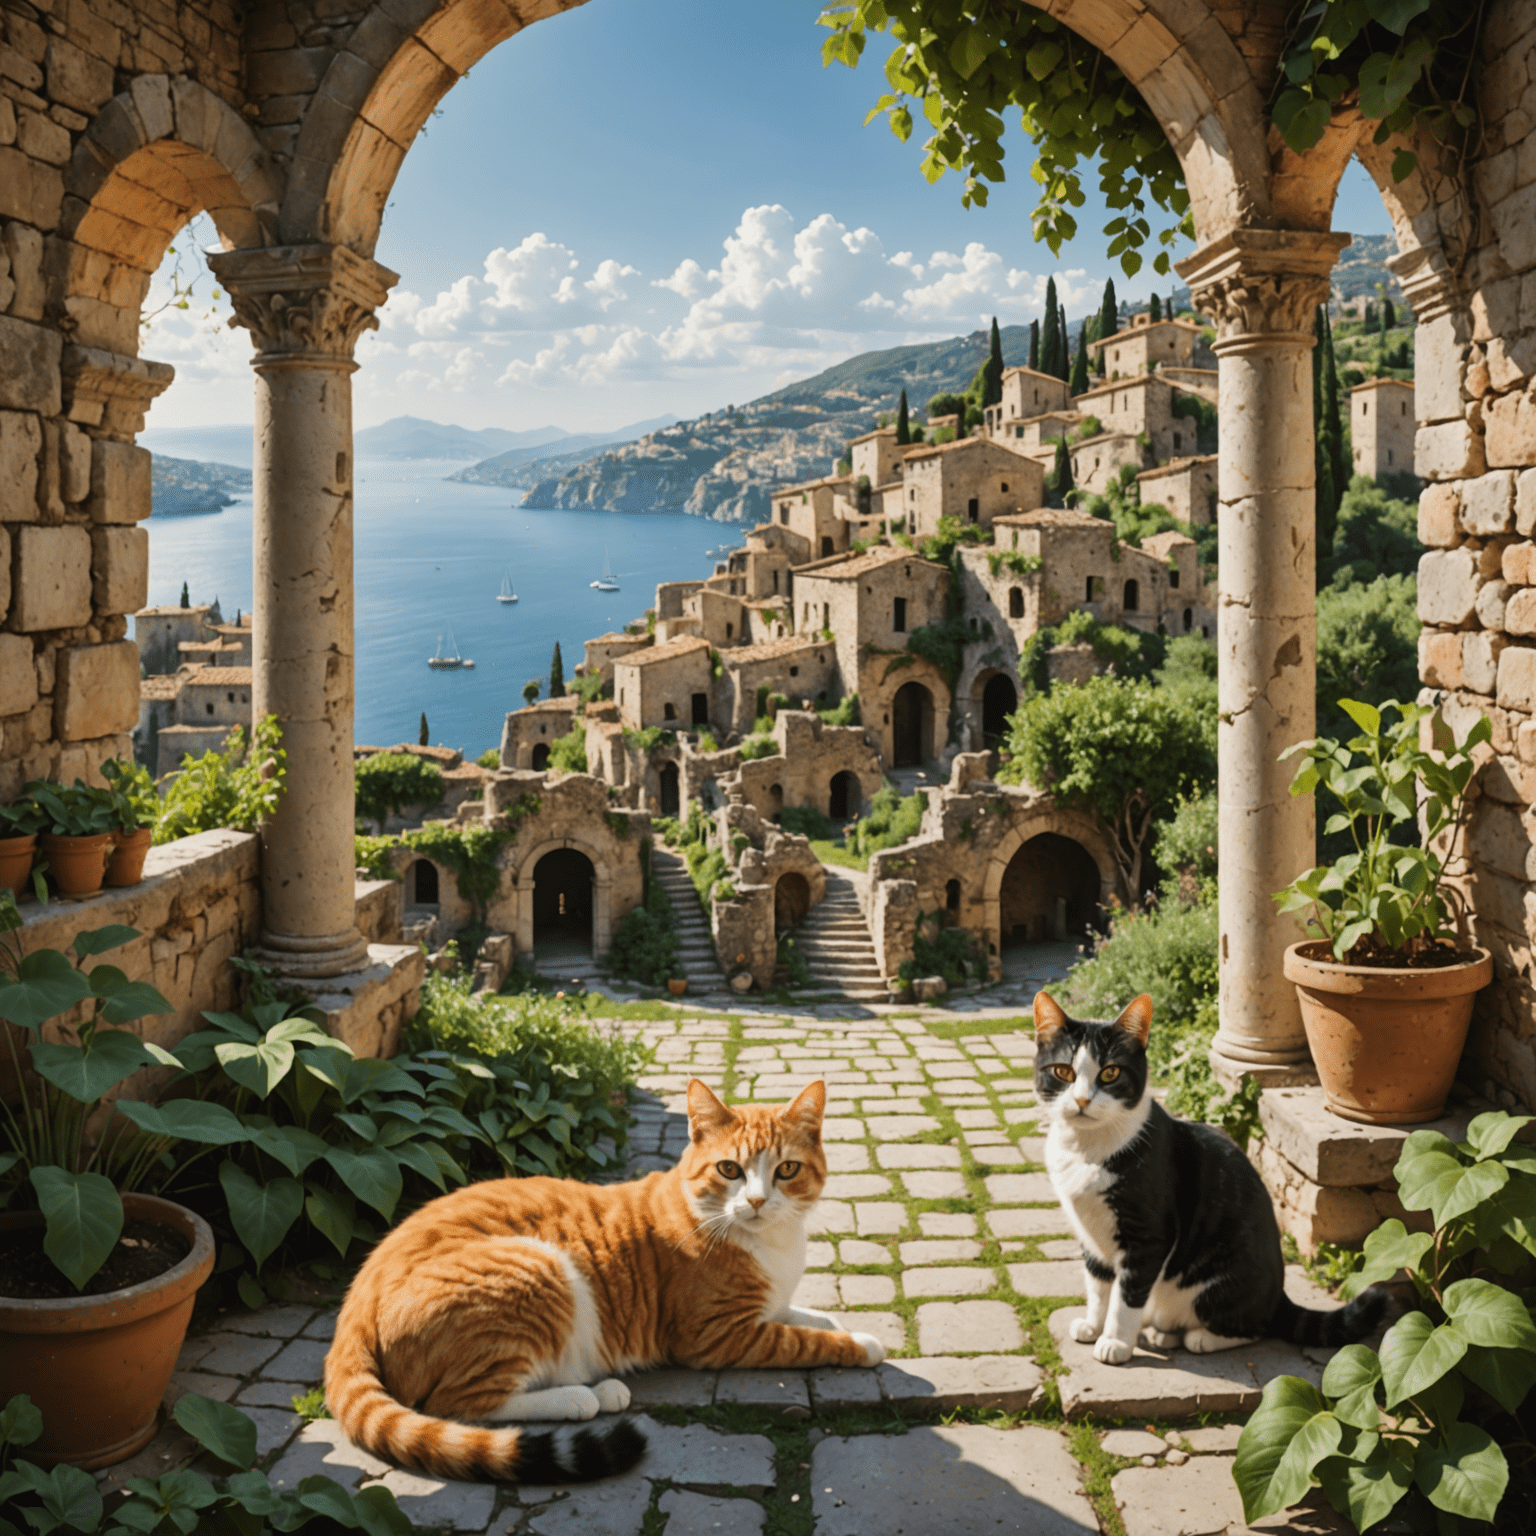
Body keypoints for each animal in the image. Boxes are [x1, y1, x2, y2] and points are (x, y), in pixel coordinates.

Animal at [324, 1075, 884, 1480]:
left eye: (786, 1170)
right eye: (729, 1169)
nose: (757, 1201)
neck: (771, 1244)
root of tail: (355, 1300)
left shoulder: (770, 1306)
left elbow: (814, 1317)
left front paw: (838, 1323)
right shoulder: (719, 1337)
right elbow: (804, 1340)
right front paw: (863, 1344)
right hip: (538, 1268)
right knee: (458, 1404)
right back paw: (581, 1397)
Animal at [1032, 995, 1394, 1370]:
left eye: (1110, 1073)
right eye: (1063, 1072)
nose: (1082, 1100)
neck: (1087, 1149)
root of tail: (1279, 1296)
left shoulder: (1148, 1237)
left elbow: (1126, 1295)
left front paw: (1115, 1342)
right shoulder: (1092, 1235)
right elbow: (1098, 1285)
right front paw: (1093, 1325)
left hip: (1218, 1283)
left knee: (1255, 1327)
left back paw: (1198, 1337)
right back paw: (1161, 1333)